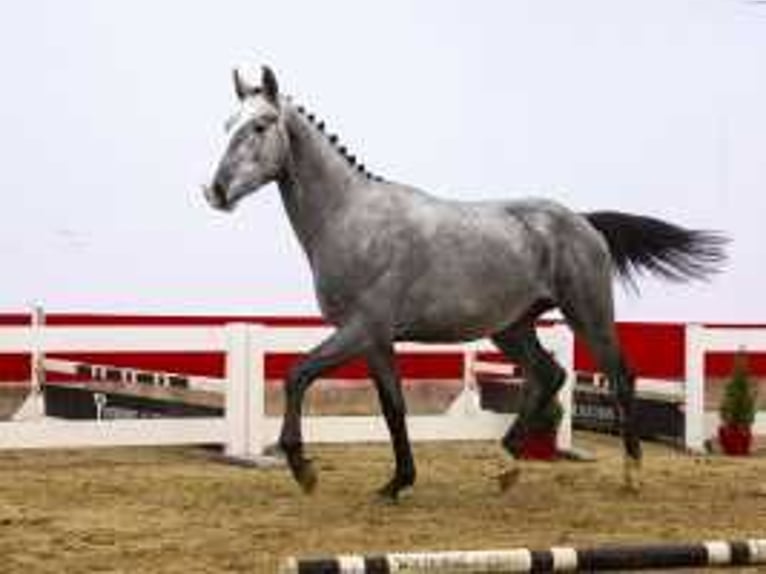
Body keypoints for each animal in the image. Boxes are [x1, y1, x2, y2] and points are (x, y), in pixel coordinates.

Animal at [202, 65, 728, 502]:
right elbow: (393, 407)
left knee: (620, 378)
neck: (352, 220)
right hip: (512, 327)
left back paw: (630, 474)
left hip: (588, 313)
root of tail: (583, 222)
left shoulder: (361, 329)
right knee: (548, 376)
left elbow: (298, 375)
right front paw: (397, 482)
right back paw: (505, 465)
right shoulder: (376, 341)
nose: (216, 192)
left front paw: (302, 467)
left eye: (260, 125)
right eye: (227, 124)